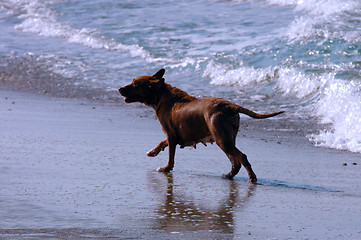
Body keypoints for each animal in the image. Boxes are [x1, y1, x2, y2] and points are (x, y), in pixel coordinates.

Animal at [119, 68, 282, 183]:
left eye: (135, 84)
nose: (120, 89)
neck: (161, 95)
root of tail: (230, 105)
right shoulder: (174, 136)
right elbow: (162, 142)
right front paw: (153, 151)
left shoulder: (171, 136)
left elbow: (171, 156)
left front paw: (166, 168)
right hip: (227, 139)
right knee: (235, 161)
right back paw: (229, 175)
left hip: (222, 139)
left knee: (241, 157)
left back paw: (251, 178)